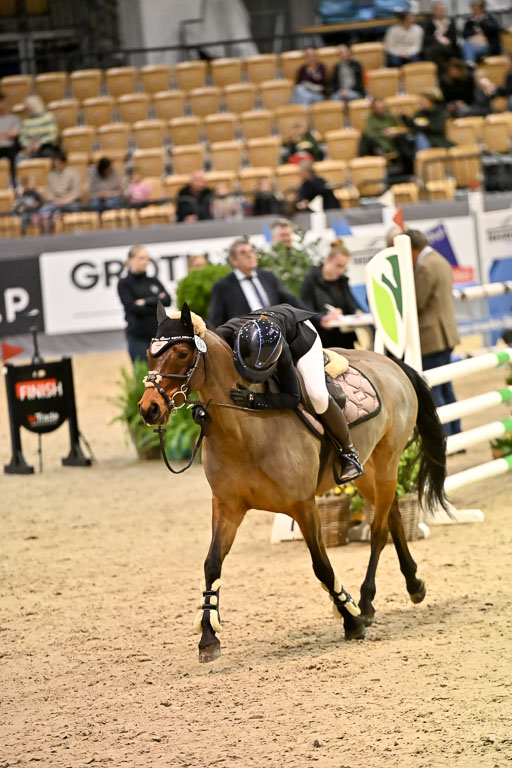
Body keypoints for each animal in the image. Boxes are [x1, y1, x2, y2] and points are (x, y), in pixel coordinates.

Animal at [139, 304, 447, 663]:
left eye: (182, 353)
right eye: (150, 354)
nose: (149, 409)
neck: (243, 431)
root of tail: (390, 363)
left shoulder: (303, 506)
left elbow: (322, 567)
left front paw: (351, 619)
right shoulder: (227, 507)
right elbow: (212, 565)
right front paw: (208, 637)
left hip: (386, 463)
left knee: (379, 531)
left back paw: (367, 601)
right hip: (368, 473)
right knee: (394, 516)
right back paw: (413, 585)